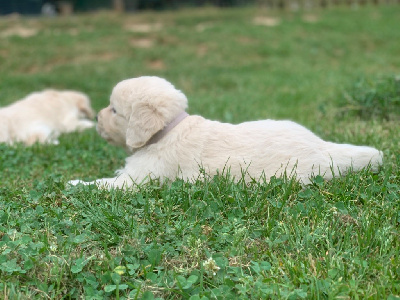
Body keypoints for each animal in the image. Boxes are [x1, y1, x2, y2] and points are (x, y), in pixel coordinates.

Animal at [68, 75, 382, 189]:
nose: (96, 117)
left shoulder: (139, 179)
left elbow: (104, 184)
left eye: (114, 110)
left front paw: (75, 184)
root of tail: (324, 148)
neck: (168, 130)